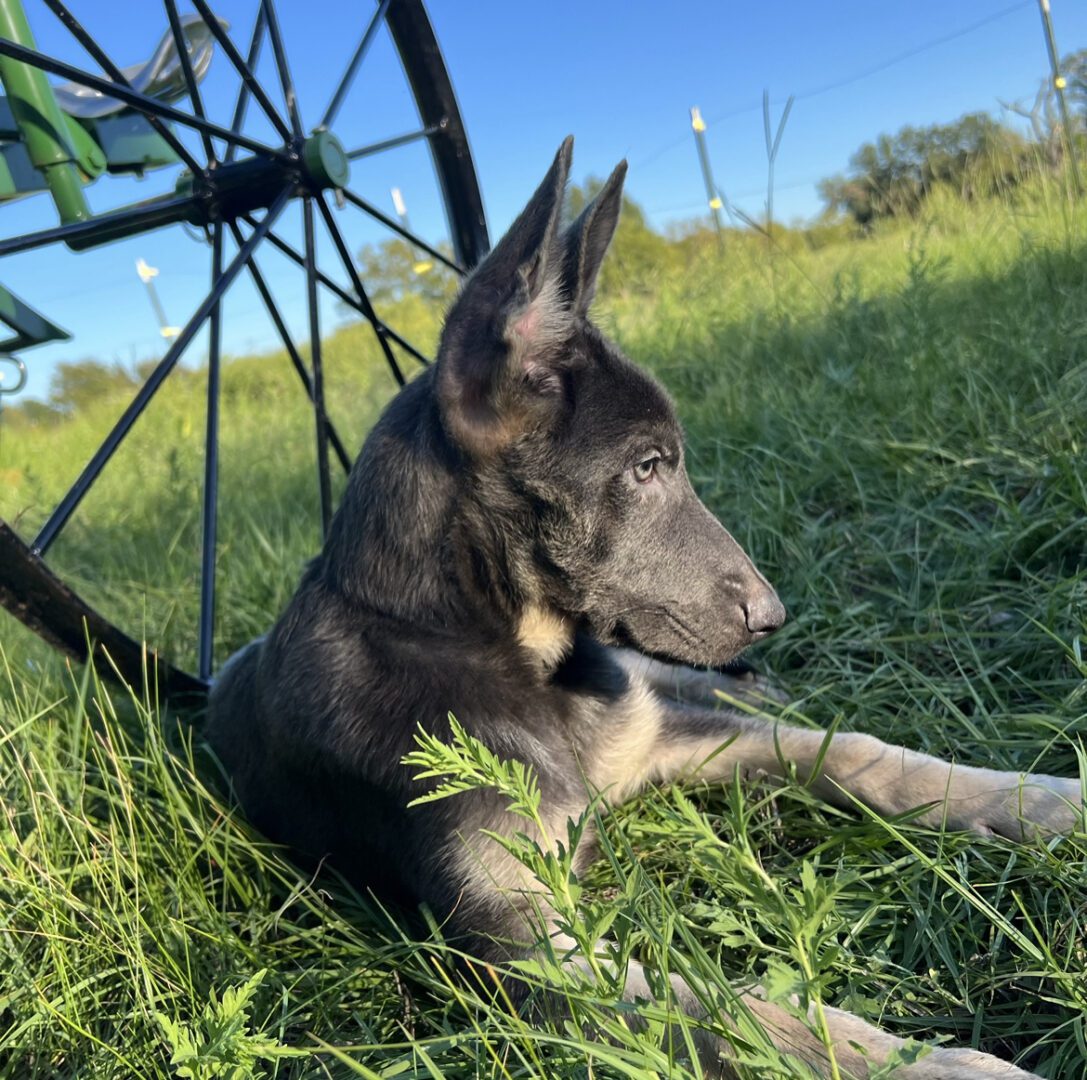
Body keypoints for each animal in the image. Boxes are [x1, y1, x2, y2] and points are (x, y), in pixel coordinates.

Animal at [207, 139, 1082, 1073]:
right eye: (646, 467)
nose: (773, 614)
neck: (498, 651)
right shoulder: (520, 943)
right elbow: (725, 1007)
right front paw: (927, 1062)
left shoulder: (658, 741)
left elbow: (855, 751)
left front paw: (1039, 800)